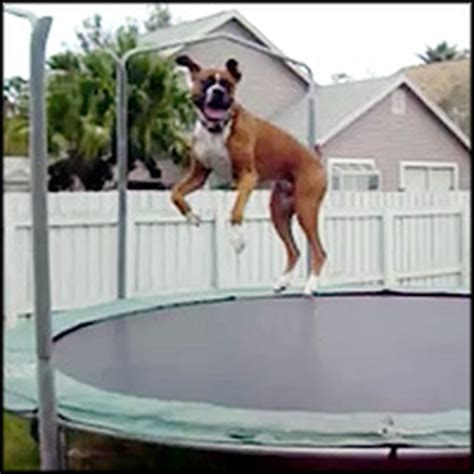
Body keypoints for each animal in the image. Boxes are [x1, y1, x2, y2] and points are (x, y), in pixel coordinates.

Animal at [170, 54, 326, 292]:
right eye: (206, 82)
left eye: (227, 84)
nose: (218, 92)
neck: (216, 129)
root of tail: (316, 161)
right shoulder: (199, 175)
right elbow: (175, 193)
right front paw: (191, 216)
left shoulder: (247, 177)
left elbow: (235, 211)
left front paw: (237, 241)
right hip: (279, 213)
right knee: (294, 250)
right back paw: (282, 281)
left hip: (305, 209)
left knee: (319, 251)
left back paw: (311, 285)